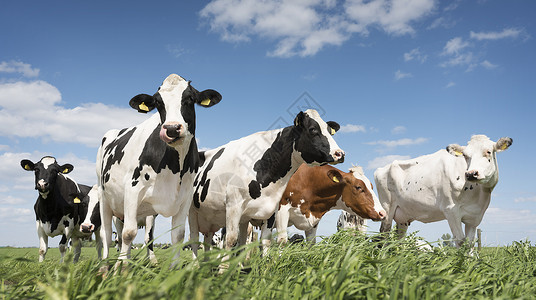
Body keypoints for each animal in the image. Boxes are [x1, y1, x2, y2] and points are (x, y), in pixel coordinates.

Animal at [96, 74, 222, 264]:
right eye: (157, 102)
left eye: (190, 98)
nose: (171, 128)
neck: (175, 168)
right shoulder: (133, 189)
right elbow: (128, 233)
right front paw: (123, 268)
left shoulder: (184, 198)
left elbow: (178, 235)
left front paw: (174, 267)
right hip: (104, 196)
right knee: (108, 235)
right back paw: (107, 263)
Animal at [187, 109, 344, 258]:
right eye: (313, 129)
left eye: (330, 131)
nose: (340, 153)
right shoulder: (233, 205)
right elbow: (231, 240)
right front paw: (223, 268)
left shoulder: (270, 210)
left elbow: (264, 241)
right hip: (192, 211)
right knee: (194, 240)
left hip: (214, 218)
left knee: (212, 240)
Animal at [374, 135, 512, 247]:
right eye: (465, 155)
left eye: (488, 151)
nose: (471, 174)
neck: (479, 194)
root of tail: (382, 168)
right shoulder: (451, 210)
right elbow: (460, 241)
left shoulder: (474, 217)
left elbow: (470, 244)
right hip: (386, 209)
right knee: (383, 236)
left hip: (403, 217)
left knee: (399, 240)